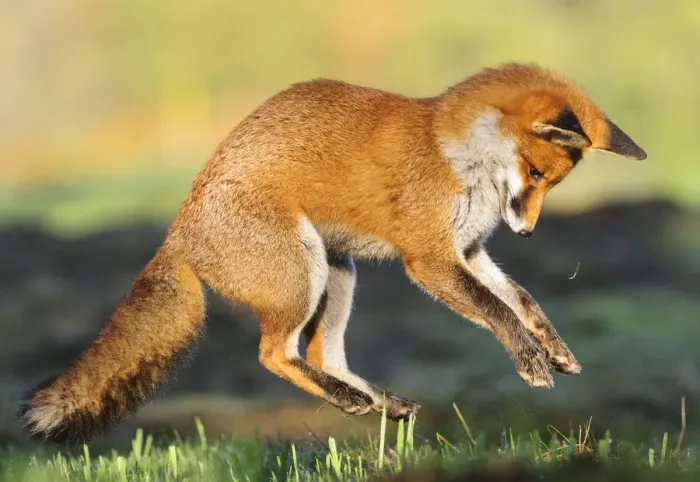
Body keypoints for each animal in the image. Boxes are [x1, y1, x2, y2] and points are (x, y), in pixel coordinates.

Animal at [19, 62, 646, 444]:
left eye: (553, 185)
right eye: (536, 174)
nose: (528, 235)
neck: (457, 156)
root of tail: (178, 232)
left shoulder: (468, 250)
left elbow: (522, 300)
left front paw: (554, 349)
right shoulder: (429, 258)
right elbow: (497, 312)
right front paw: (530, 362)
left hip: (338, 274)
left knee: (322, 355)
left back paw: (377, 399)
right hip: (305, 274)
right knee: (274, 354)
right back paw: (349, 400)